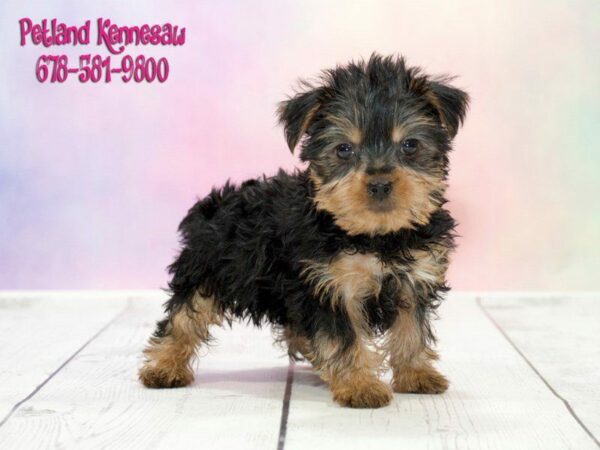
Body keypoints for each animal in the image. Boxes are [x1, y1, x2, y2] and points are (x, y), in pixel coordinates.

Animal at [139, 53, 468, 408]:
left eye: (409, 145)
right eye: (344, 150)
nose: (379, 183)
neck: (376, 235)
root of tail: (212, 204)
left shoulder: (413, 279)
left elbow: (411, 329)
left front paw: (415, 375)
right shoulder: (333, 285)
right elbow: (343, 336)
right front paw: (359, 386)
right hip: (207, 269)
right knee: (184, 317)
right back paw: (163, 366)